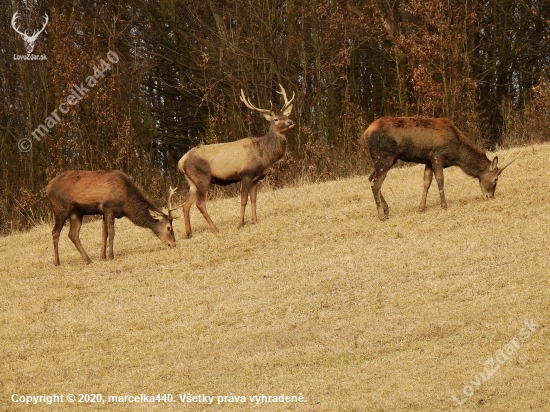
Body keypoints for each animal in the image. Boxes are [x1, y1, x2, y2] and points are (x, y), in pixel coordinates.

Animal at [46, 170, 182, 264]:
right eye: (169, 228)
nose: (173, 244)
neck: (126, 205)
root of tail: (47, 188)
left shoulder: (104, 212)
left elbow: (104, 233)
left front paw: (103, 256)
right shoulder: (108, 208)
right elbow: (111, 232)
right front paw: (111, 256)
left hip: (76, 213)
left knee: (72, 234)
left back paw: (88, 260)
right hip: (60, 209)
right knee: (55, 232)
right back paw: (57, 262)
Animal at [179, 84, 296, 238]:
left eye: (286, 115)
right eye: (275, 119)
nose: (290, 122)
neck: (263, 154)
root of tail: (181, 161)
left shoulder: (256, 178)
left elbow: (254, 199)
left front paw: (255, 220)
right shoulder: (246, 174)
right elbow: (243, 200)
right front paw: (240, 224)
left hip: (192, 182)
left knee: (185, 204)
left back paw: (189, 233)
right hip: (202, 178)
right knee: (200, 204)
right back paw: (215, 229)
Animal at [362, 117, 516, 220]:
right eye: (495, 179)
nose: (489, 196)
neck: (457, 153)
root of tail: (366, 133)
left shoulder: (428, 160)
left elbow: (426, 183)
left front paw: (421, 207)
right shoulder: (437, 156)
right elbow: (440, 181)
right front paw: (444, 205)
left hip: (385, 159)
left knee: (370, 178)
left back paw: (386, 210)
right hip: (385, 157)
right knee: (376, 183)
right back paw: (381, 215)